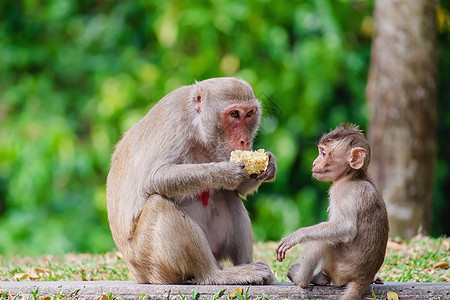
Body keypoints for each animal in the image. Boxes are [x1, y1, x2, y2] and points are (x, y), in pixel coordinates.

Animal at [108, 77, 278, 284]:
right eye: (234, 114)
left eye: (249, 114)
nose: (245, 141)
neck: (198, 128)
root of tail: (139, 275)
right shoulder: (175, 121)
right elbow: (155, 177)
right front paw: (225, 172)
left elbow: (238, 190)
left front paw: (269, 165)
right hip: (148, 260)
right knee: (159, 203)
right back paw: (216, 275)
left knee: (228, 196)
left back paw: (246, 266)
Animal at [276, 123, 388, 298]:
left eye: (323, 153)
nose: (314, 163)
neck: (350, 176)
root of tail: (363, 279)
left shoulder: (342, 192)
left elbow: (347, 228)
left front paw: (296, 235)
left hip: (341, 270)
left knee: (321, 241)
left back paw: (301, 279)